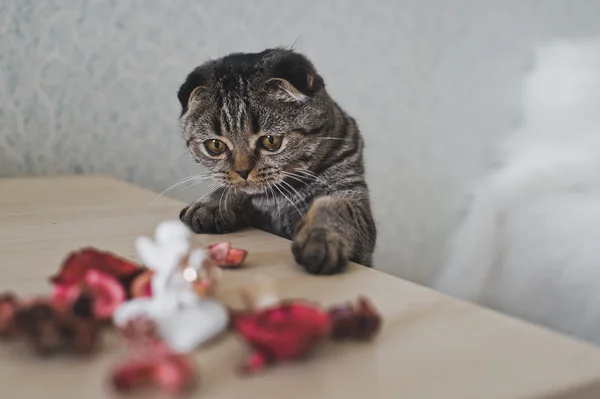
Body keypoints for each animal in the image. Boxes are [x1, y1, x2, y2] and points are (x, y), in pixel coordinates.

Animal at [176, 48, 378, 276]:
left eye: (271, 141)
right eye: (215, 145)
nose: (243, 171)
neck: (277, 200)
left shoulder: (352, 195)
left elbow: (334, 206)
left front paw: (320, 237)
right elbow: (230, 189)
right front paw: (211, 204)